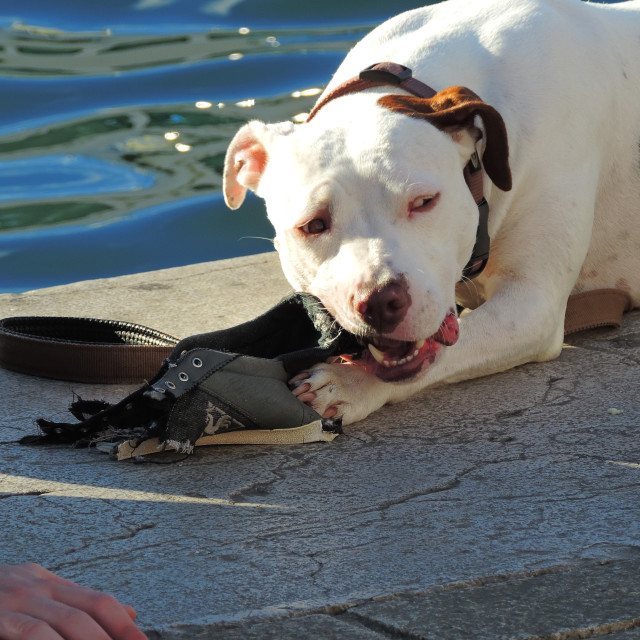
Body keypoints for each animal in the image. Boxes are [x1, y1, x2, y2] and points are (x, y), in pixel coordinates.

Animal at [222, 0, 636, 424]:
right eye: (314, 224)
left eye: (423, 202)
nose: (380, 302)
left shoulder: (531, 303)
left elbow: (448, 351)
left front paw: (347, 383)